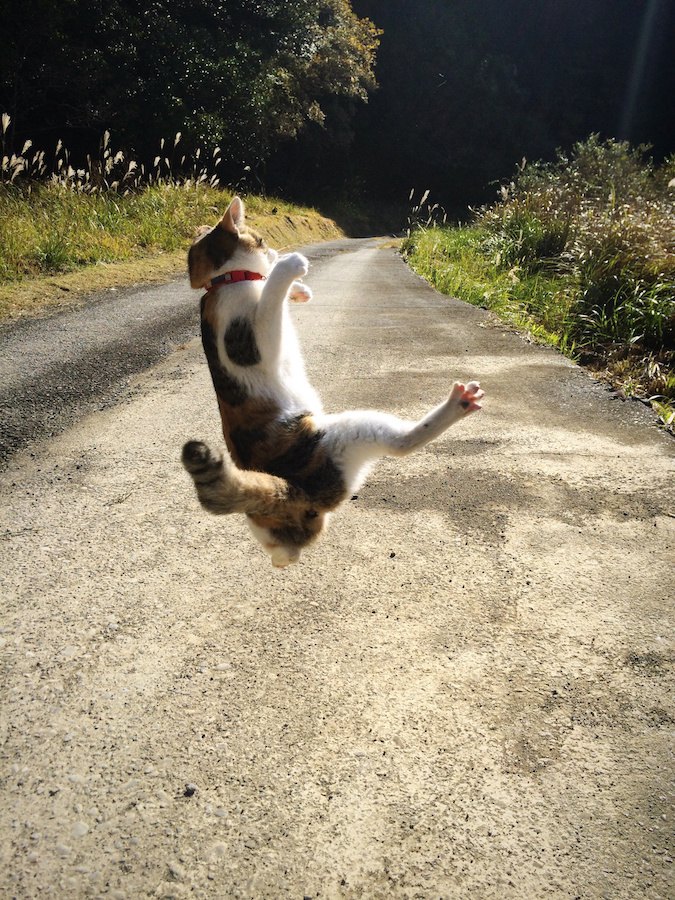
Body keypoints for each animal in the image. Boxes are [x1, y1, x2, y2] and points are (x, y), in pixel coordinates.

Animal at [182, 195, 484, 568]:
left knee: (281, 550)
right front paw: (289, 267)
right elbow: (270, 294)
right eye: (262, 240)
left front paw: (299, 289)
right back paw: (460, 403)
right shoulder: (252, 341)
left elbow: (271, 290)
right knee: (402, 443)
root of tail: (291, 490)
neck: (224, 282)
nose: (275, 250)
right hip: (349, 433)